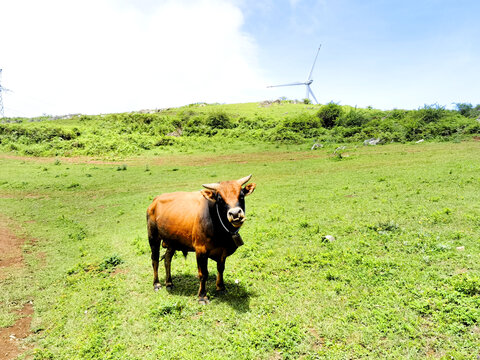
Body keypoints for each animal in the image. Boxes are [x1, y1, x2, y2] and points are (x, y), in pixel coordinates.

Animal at [148, 174, 256, 304]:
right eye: (220, 199)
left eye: (241, 195)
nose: (235, 214)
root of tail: (156, 199)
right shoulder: (200, 250)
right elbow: (203, 273)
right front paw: (202, 296)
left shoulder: (223, 251)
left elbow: (221, 268)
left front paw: (221, 287)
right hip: (153, 238)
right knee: (155, 260)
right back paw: (156, 284)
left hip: (172, 241)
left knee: (167, 259)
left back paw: (169, 283)